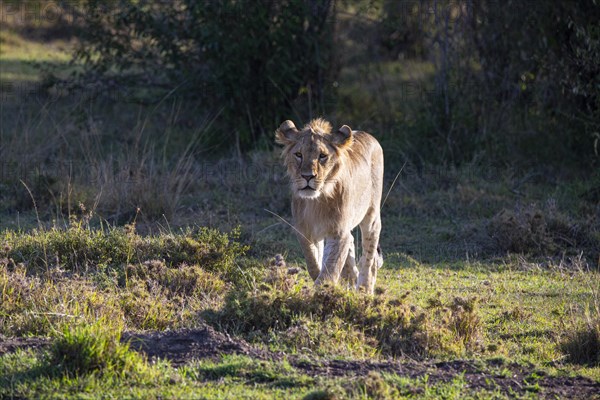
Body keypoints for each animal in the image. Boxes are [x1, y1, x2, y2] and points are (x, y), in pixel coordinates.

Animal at [276, 117, 384, 292]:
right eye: (298, 154)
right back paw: (351, 277)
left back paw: (364, 289)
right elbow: (312, 261)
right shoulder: (304, 231)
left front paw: (324, 290)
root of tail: (368, 135)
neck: (316, 202)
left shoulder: (338, 232)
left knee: (369, 255)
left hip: (371, 215)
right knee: (351, 243)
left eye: (322, 156)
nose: (307, 176)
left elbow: (331, 268)